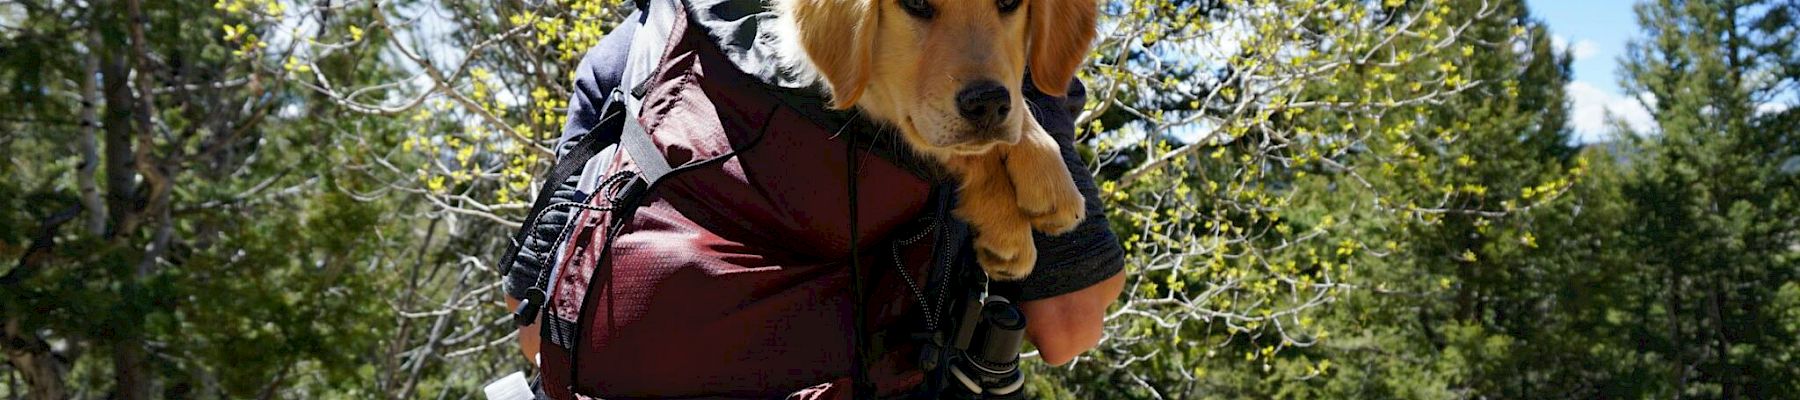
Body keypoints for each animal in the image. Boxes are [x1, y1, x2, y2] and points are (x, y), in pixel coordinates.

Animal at [774, 0, 1094, 279]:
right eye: (915, 3)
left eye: (1008, 2)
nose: (988, 104)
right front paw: (1006, 226)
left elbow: (1014, 107)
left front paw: (1049, 177)